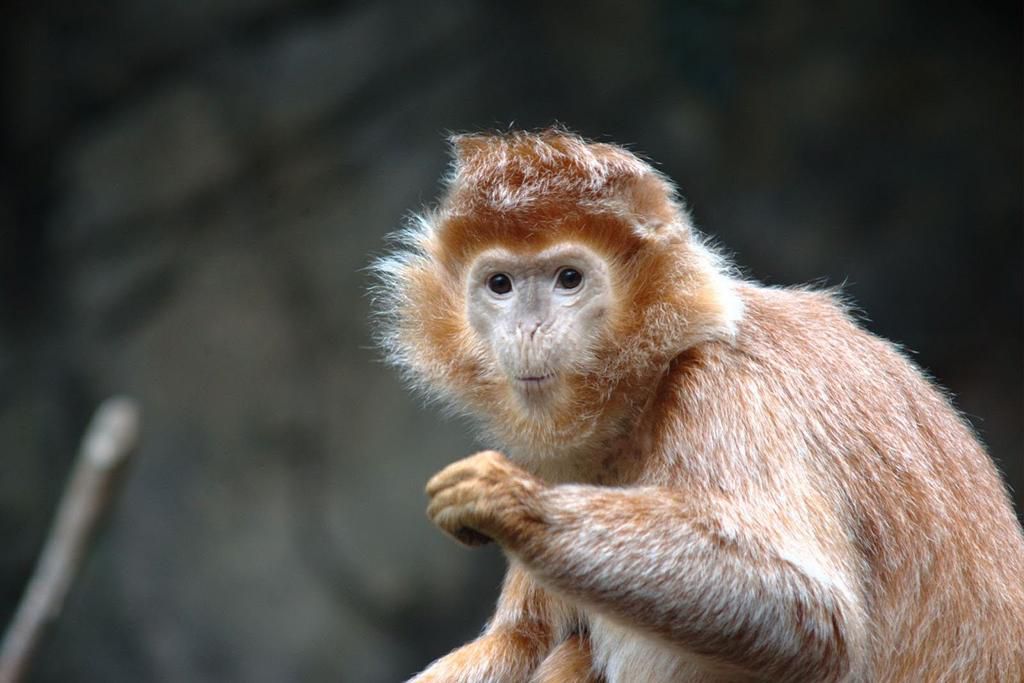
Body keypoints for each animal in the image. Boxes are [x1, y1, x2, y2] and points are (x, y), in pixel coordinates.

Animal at [371, 129, 1024, 682]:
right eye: (500, 285)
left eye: (568, 279)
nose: (528, 329)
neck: (651, 386)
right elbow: (519, 640)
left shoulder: (727, 386)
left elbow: (816, 618)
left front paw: (514, 504)